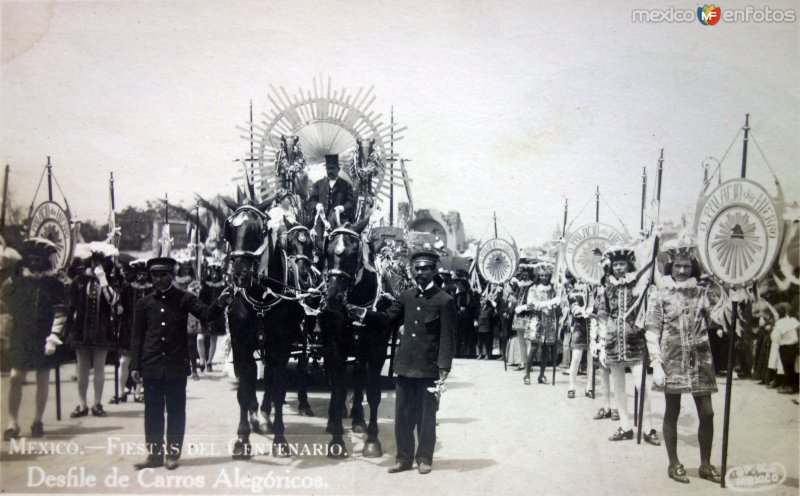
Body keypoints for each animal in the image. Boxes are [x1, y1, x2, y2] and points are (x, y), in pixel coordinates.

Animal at [223, 203, 304, 460]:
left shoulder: (280, 347)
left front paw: (279, 438)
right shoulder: (240, 346)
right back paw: (255, 415)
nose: (240, 274)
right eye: (229, 231)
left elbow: (277, 388)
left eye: (259, 232)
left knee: (268, 377)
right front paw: (242, 438)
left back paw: (266, 415)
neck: (261, 297)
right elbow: (244, 388)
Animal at [318, 223, 396, 460]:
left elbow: (373, 392)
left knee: (360, 377)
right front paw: (337, 441)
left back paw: (359, 420)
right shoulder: (335, 347)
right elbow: (339, 390)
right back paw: (333, 420)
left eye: (354, 254)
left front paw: (372, 441)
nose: (332, 298)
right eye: (327, 251)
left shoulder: (378, 349)